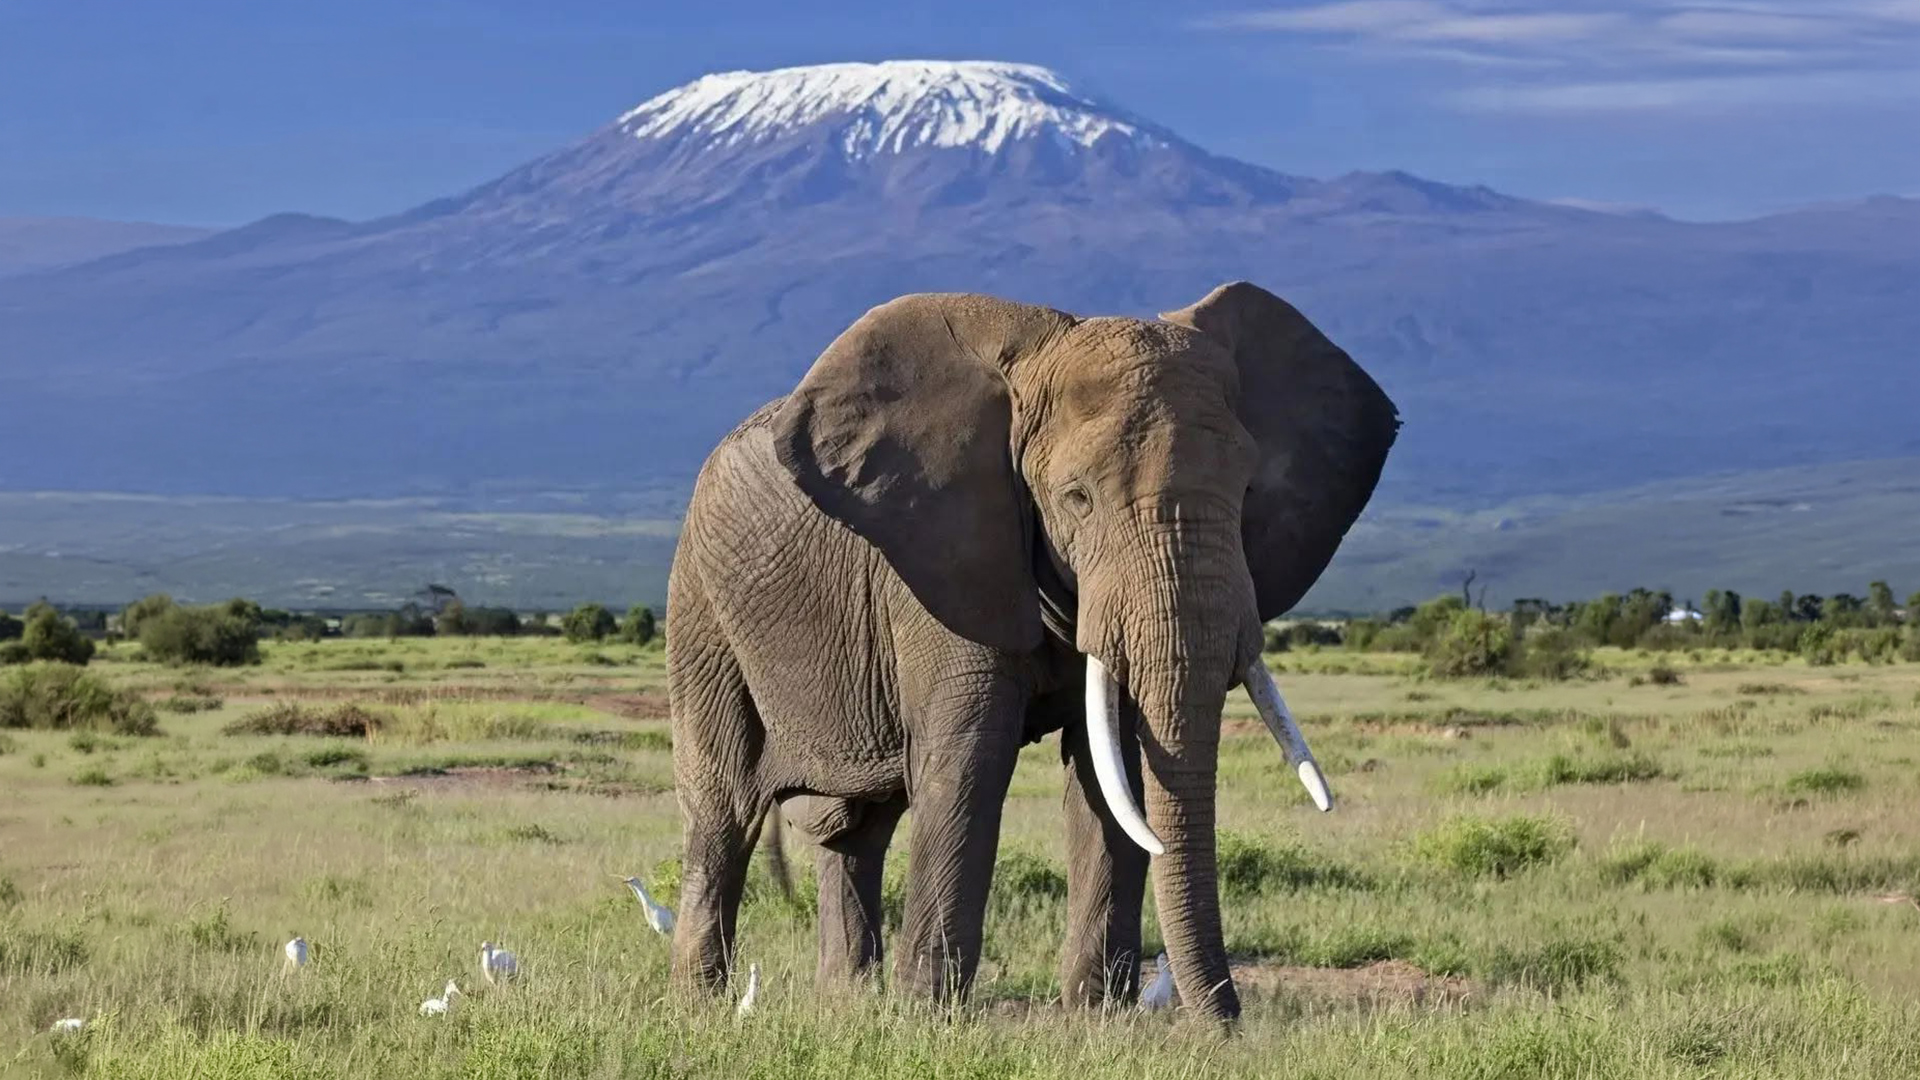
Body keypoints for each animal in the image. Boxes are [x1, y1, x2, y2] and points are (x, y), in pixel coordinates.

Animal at [664, 281, 1398, 1024]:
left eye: (1248, 492)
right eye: (1077, 498)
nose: (1227, 1029)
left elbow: (1112, 770)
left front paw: (1097, 1021)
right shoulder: (944, 561)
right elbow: (970, 762)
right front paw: (930, 1021)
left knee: (858, 827)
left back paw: (847, 1003)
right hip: (700, 605)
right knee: (725, 807)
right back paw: (702, 1006)